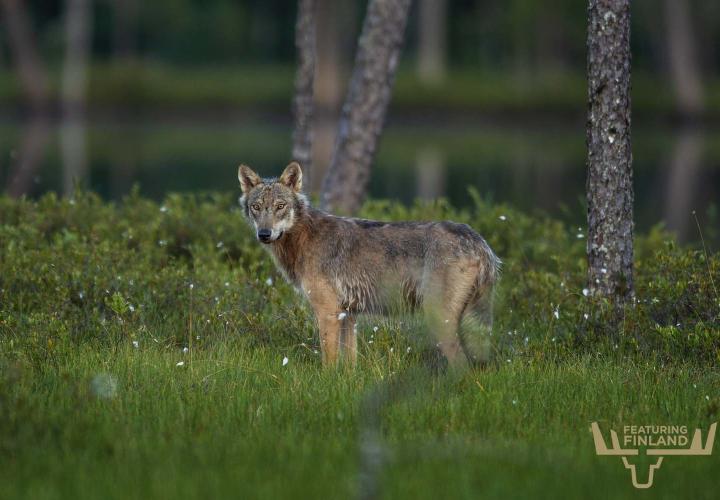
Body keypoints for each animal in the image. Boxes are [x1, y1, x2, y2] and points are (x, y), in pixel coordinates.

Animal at [236, 162, 500, 370]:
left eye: (280, 206)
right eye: (256, 207)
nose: (264, 234)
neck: (302, 237)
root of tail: (478, 240)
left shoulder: (328, 312)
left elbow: (328, 363)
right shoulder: (348, 315)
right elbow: (350, 363)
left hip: (438, 319)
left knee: (463, 367)